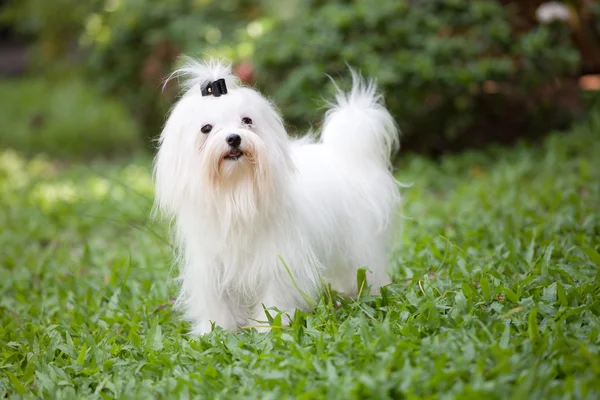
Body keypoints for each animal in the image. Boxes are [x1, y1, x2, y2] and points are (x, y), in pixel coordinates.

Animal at [152, 58, 400, 334]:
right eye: (206, 128)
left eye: (247, 120)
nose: (234, 138)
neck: (236, 191)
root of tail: (345, 153)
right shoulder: (212, 266)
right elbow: (218, 301)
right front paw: (215, 331)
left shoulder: (277, 261)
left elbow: (273, 297)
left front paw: (269, 328)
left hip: (358, 242)